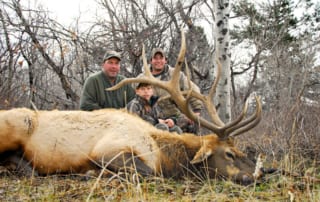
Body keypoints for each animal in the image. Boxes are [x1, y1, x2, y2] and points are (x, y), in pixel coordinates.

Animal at [0, 29, 262, 185]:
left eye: (239, 150)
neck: (162, 155)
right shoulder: (107, 150)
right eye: (229, 154)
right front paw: (93, 173)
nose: (261, 173)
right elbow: (146, 172)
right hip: (16, 126)